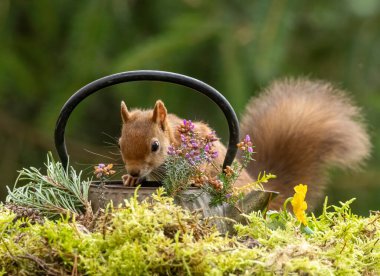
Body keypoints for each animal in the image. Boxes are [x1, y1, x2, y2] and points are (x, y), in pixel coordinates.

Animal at [117, 77, 370, 209]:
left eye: (155, 146)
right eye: (120, 144)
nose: (134, 170)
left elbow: (198, 171)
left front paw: (192, 179)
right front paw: (131, 179)